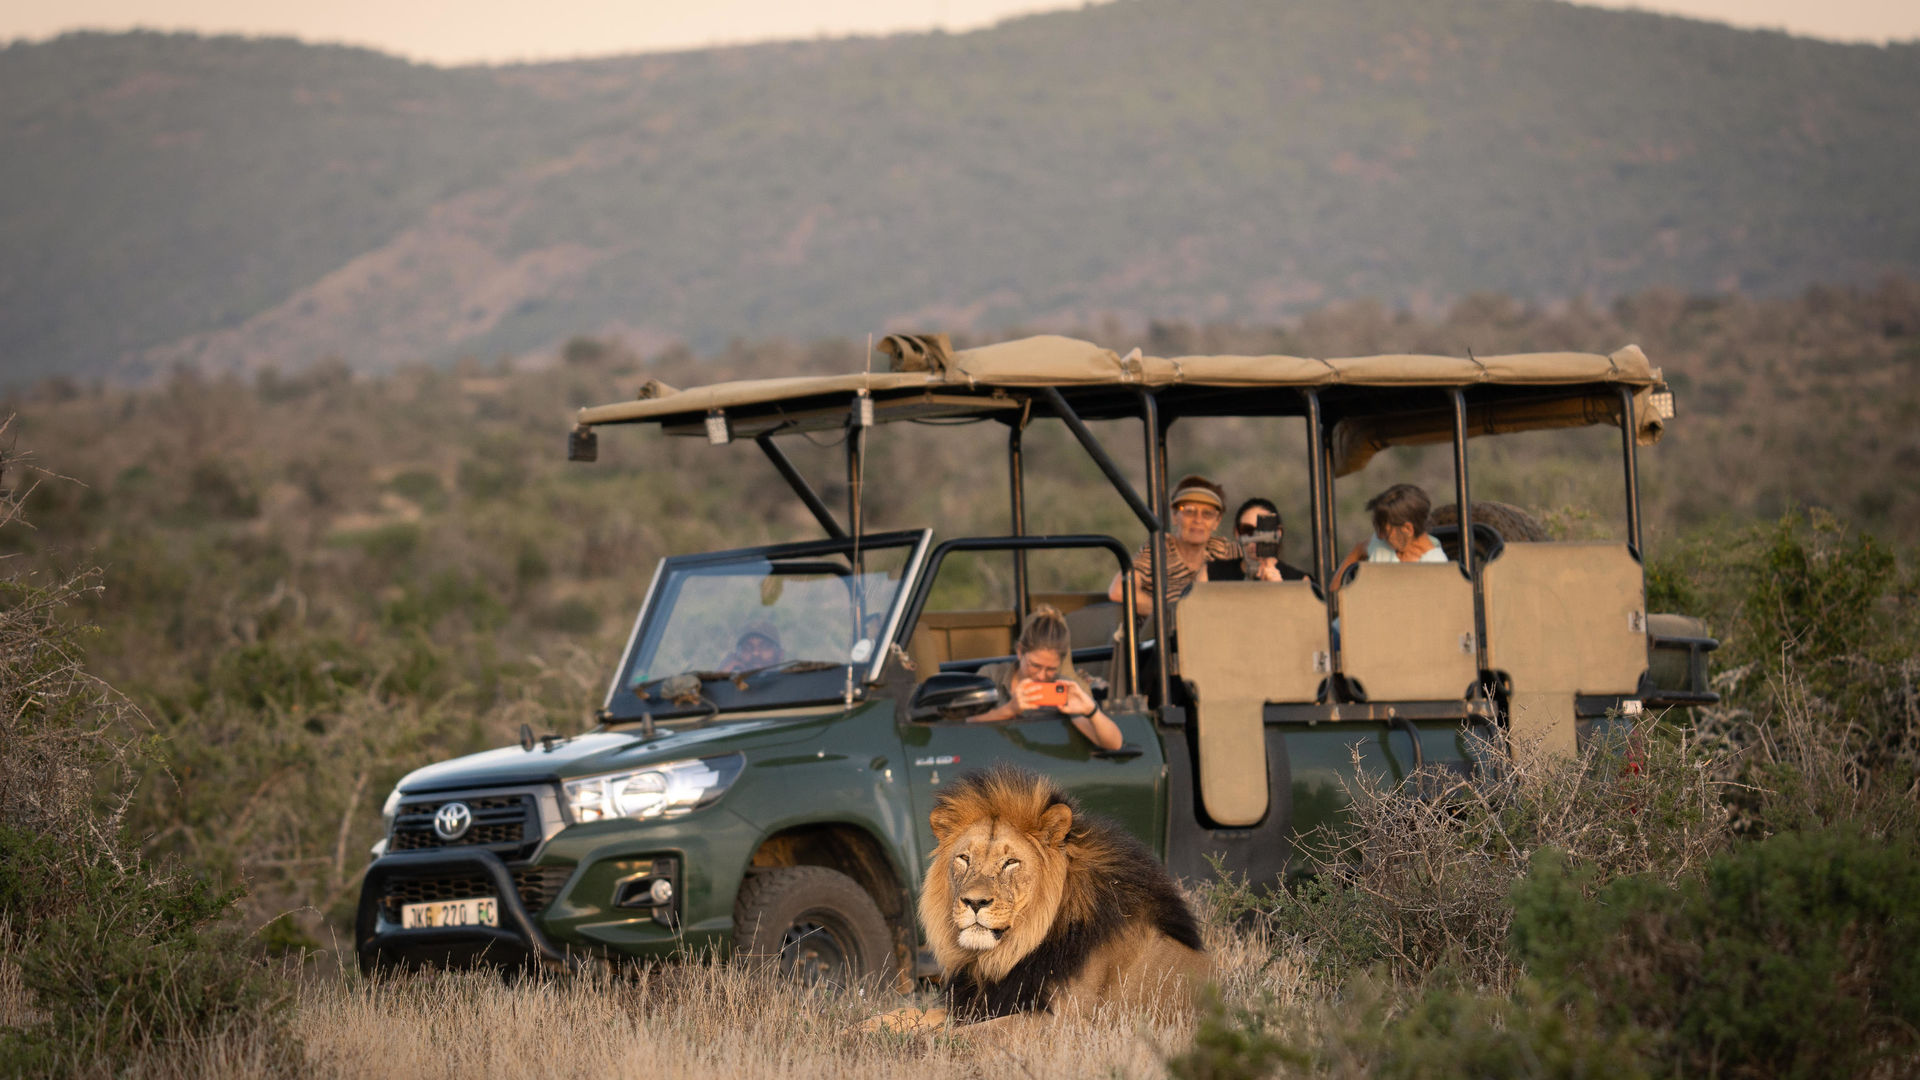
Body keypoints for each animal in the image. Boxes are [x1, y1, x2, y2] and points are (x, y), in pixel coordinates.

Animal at [875, 760, 1213, 1030]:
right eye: (964, 859)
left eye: (1010, 862)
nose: (974, 902)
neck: (1008, 955)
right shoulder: (976, 1003)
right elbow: (901, 1014)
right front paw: (865, 1036)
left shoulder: (1062, 1021)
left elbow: (965, 1036)